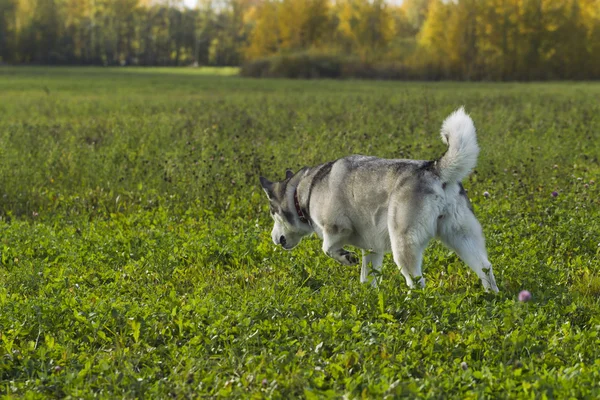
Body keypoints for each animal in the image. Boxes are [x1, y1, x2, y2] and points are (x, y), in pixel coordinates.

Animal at [260, 108, 500, 292]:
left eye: (272, 213)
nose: (274, 240)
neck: (303, 192)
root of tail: (433, 168)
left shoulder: (336, 228)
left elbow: (327, 249)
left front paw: (346, 258)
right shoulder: (372, 249)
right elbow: (367, 277)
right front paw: (367, 297)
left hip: (403, 242)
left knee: (417, 281)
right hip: (463, 237)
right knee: (485, 267)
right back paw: (491, 295)